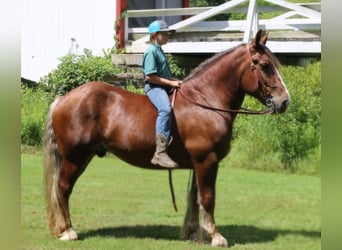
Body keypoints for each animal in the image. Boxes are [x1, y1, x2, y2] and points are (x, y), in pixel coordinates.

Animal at [42, 30, 288, 247]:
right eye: (264, 65)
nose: (284, 101)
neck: (206, 102)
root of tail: (63, 99)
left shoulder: (200, 163)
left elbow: (196, 199)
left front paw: (195, 233)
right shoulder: (207, 160)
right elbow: (208, 198)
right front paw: (215, 236)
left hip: (84, 157)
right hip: (75, 157)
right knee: (63, 187)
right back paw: (68, 231)